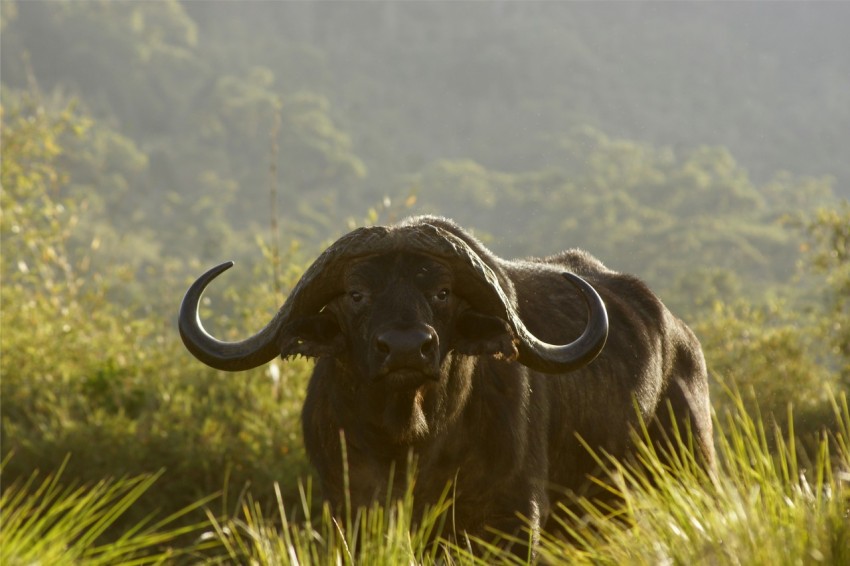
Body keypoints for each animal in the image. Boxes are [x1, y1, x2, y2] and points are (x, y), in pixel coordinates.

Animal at [179, 215, 714, 551]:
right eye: (356, 293)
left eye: (441, 291)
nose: (405, 348)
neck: (410, 442)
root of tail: (681, 339)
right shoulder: (349, 508)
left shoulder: (513, 519)